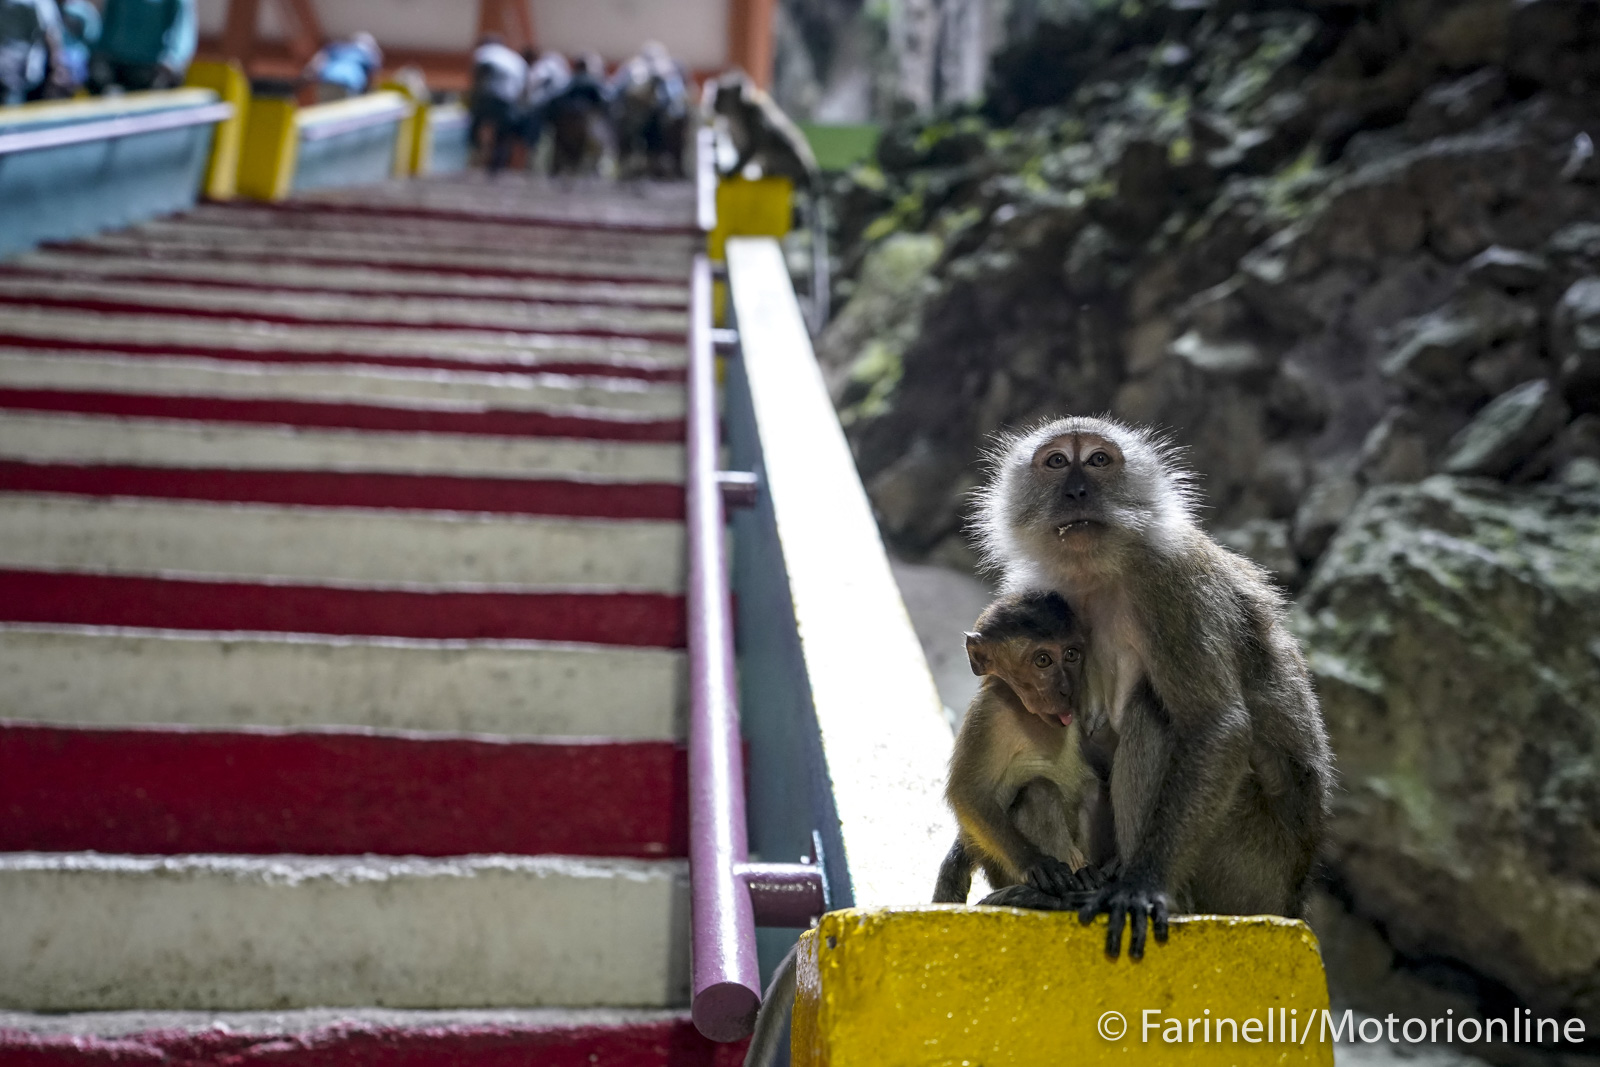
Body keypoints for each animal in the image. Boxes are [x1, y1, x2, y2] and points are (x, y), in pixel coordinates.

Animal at [979, 415, 1331, 959]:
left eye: (1098, 460)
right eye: (1056, 462)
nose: (1077, 490)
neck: (1099, 574)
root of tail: (1293, 897)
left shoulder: (1171, 581)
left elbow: (1214, 725)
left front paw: (1142, 886)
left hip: (1250, 860)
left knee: (1155, 713)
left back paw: (1157, 892)